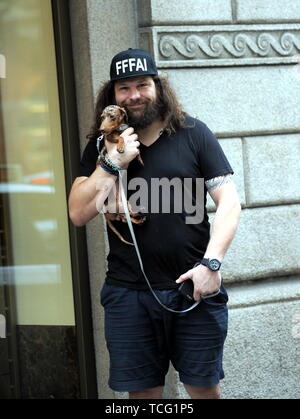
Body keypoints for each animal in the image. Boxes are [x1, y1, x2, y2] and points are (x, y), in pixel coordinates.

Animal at [98, 104, 145, 246]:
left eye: (112, 116)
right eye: (101, 117)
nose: (101, 130)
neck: (119, 129)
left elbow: (138, 150)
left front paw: (140, 159)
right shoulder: (109, 137)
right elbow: (121, 137)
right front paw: (120, 146)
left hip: (126, 203)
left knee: (128, 216)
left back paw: (139, 214)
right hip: (120, 207)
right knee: (125, 218)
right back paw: (139, 219)